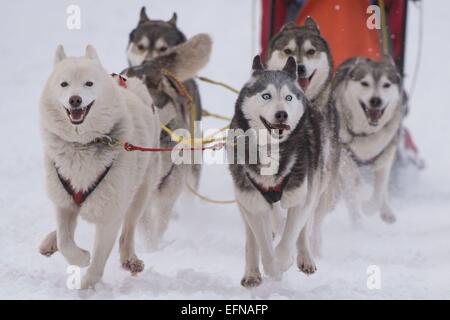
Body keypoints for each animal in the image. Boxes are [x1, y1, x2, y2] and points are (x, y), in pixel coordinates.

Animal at [38, 45, 162, 290]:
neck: (82, 144)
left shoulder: (109, 215)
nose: (75, 100)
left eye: (89, 83)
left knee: (128, 230)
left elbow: (97, 261)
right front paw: (80, 256)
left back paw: (129, 259)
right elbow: (65, 240)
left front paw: (86, 286)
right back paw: (49, 242)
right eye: (64, 84)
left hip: (141, 191)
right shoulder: (63, 202)